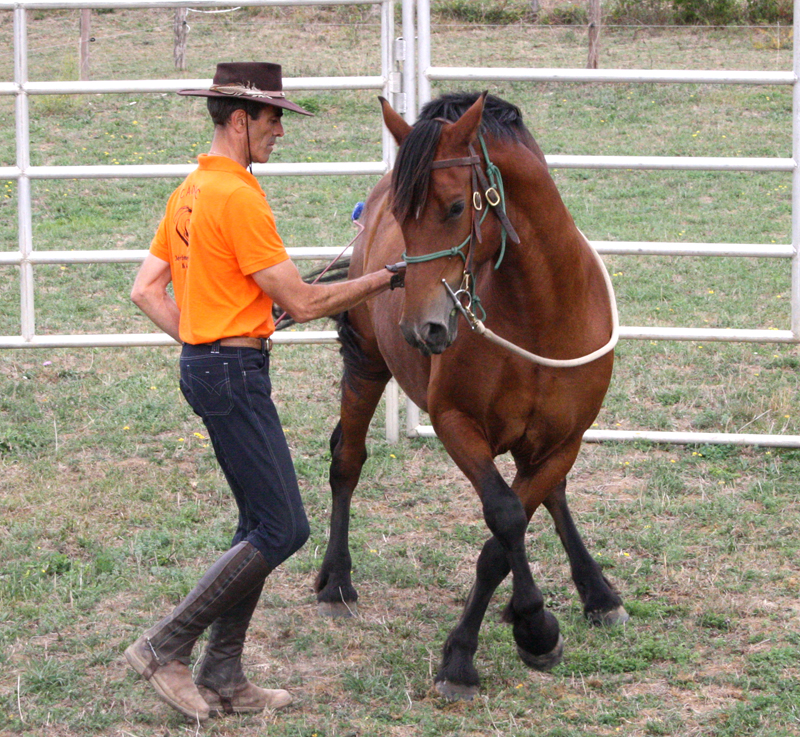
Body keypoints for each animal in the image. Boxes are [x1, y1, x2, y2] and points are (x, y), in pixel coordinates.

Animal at [316, 92, 628, 700]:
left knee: (549, 499)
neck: (541, 311)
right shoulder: (456, 425)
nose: (423, 329)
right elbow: (504, 517)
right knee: (348, 460)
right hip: (366, 364)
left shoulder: (565, 440)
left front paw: (525, 626)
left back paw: (598, 593)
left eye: (457, 207)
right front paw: (513, 636)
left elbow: (513, 526)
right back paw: (336, 582)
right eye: (402, 217)